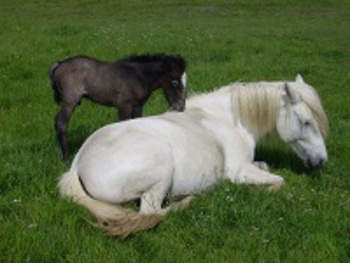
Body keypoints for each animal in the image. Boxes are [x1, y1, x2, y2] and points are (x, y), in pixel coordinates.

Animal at [49, 53, 187, 161]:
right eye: (175, 81)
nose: (180, 107)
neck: (138, 76)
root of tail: (60, 63)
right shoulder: (124, 105)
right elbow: (123, 123)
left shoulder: (138, 105)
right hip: (70, 102)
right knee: (61, 122)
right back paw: (65, 157)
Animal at [57, 75, 328, 239]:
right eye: (306, 122)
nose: (321, 162)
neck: (229, 120)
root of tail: (77, 164)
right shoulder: (239, 171)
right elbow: (279, 181)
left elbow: (267, 167)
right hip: (161, 168)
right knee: (151, 213)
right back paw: (189, 200)